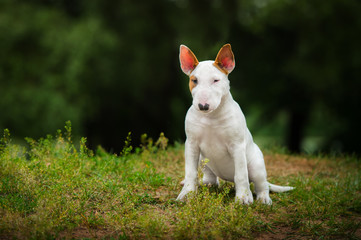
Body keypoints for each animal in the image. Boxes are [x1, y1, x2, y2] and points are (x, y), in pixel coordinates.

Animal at [177, 43, 292, 204]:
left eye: (216, 80)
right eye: (194, 80)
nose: (203, 106)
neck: (211, 116)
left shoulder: (237, 146)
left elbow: (241, 174)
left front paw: (243, 198)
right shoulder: (192, 145)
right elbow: (191, 172)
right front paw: (187, 193)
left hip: (256, 165)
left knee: (260, 184)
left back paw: (263, 198)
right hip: (202, 159)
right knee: (211, 179)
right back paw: (204, 183)